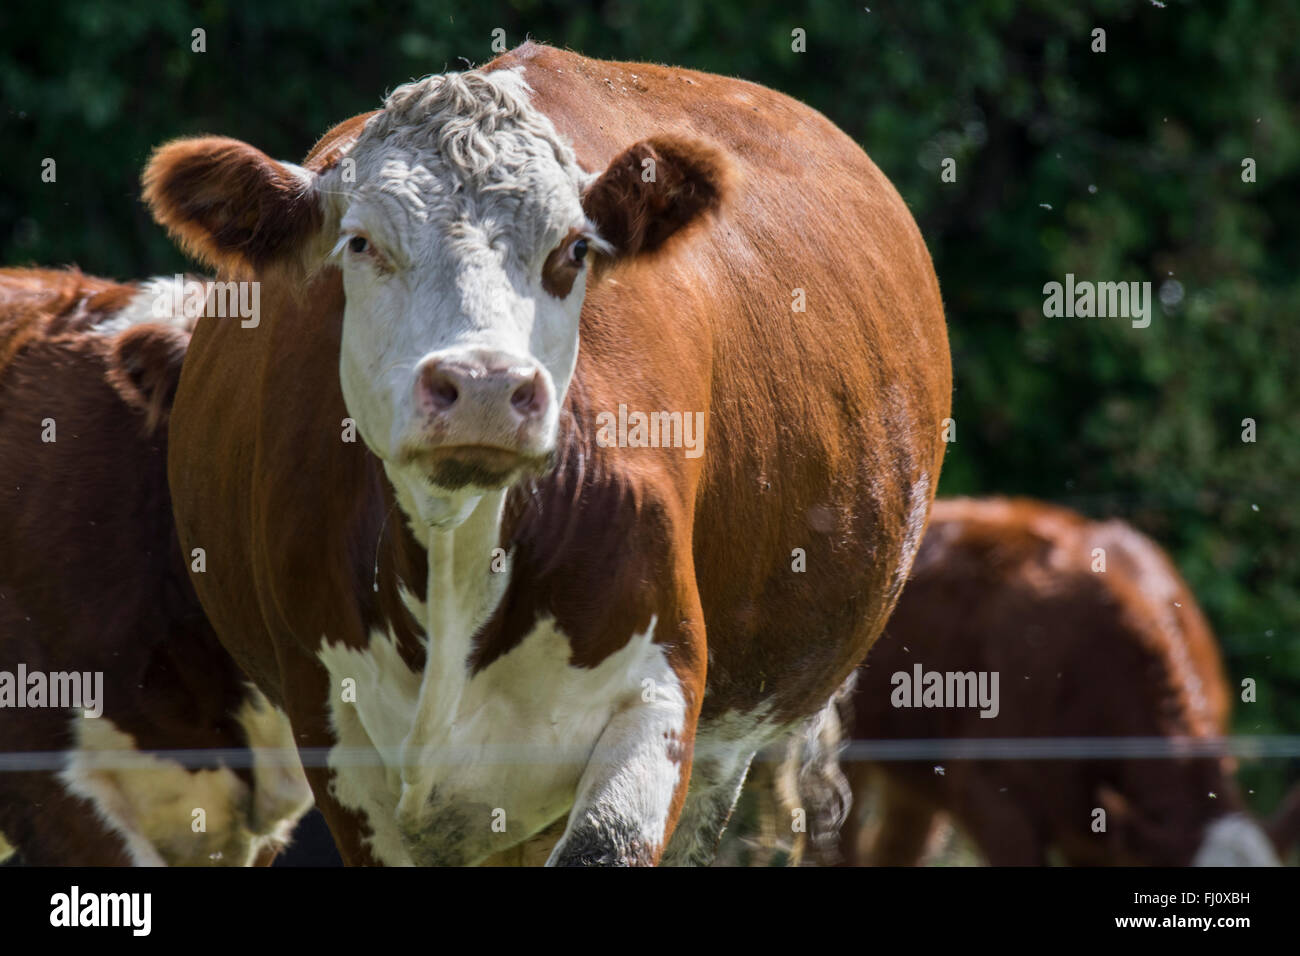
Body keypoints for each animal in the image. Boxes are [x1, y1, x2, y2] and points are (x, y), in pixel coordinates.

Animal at [142, 41, 951, 866]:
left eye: (574, 249)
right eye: (361, 243)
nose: (484, 384)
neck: (459, 555)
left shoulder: (660, 687)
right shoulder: (329, 725)